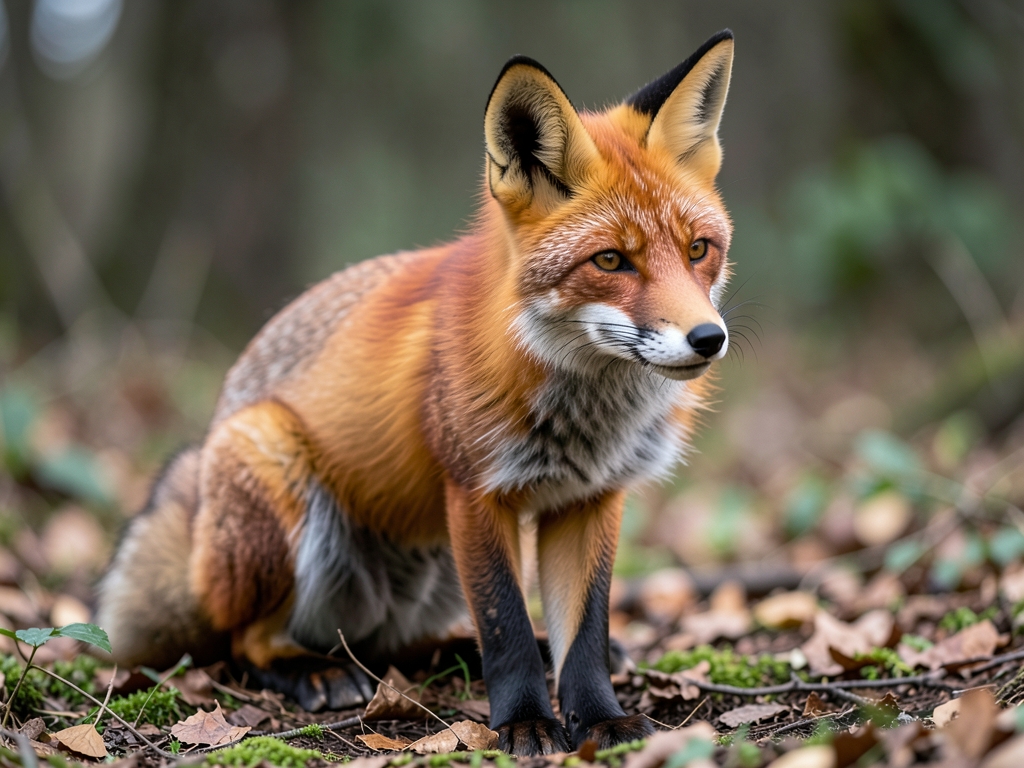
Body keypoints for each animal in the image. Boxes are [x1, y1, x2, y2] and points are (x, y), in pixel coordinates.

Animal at [97, 31, 735, 755]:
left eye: (698, 250)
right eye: (610, 261)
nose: (708, 338)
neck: (588, 413)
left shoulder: (590, 498)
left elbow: (586, 632)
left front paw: (598, 720)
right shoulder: (475, 492)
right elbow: (506, 627)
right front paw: (523, 723)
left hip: (430, 579)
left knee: (402, 647)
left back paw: (452, 655)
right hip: (276, 483)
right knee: (247, 641)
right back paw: (310, 669)